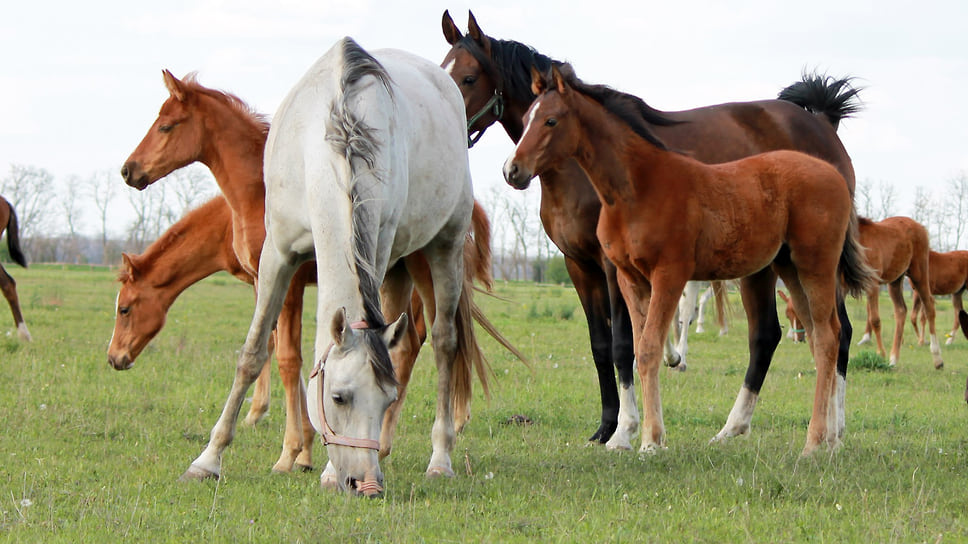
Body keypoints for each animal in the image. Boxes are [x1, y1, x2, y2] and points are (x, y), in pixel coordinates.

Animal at [182, 38, 476, 498]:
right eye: (338, 397)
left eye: (386, 399)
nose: (367, 484)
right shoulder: (277, 255)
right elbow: (252, 352)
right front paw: (207, 460)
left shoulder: (376, 248)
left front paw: (325, 471)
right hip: (401, 265)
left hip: (443, 246)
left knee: (445, 342)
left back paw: (439, 459)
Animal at [440, 9, 864, 450]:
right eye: (443, 69)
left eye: (468, 78)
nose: (512, 171)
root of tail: (822, 123)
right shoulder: (579, 265)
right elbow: (601, 344)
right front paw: (607, 427)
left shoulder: (612, 267)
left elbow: (624, 344)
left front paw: (626, 429)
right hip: (770, 265)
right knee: (776, 335)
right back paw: (739, 428)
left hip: (806, 264)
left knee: (832, 333)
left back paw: (832, 430)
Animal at [860, 215, 940, 368]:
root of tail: (920, 226)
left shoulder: (872, 282)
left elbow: (875, 319)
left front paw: (880, 353)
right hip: (895, 281)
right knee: (901, 310)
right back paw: (893, 359)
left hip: (919, 274)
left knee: (929, 305)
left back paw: (938, 359)